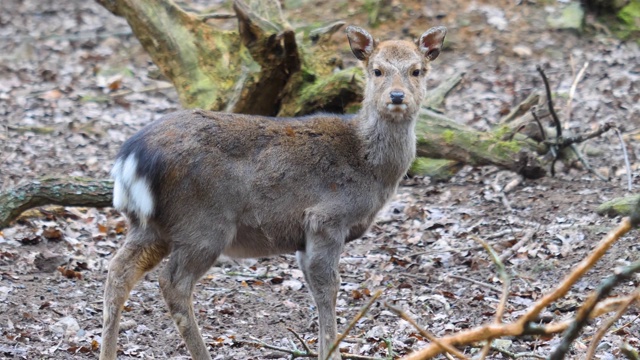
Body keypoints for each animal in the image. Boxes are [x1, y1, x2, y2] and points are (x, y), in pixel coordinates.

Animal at [100, 23, 448, 358]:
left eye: (417, 70)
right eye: (377, 70)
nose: (397, 96)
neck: (371, 169)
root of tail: (130, 158)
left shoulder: (303, 237)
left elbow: (314, 287)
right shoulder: (326, 218)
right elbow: (329, 287)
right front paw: (330, 351)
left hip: (150, 224)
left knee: (118, 271)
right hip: (203, 222)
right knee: (173, 283)